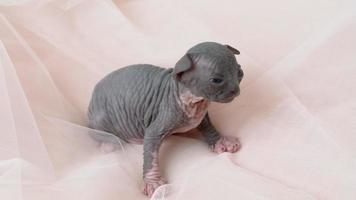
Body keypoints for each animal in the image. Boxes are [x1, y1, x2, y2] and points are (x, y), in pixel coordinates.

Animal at [88, 41, 243, 197]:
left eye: (240, 73)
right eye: (216, 80)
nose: (236, 90)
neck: (194, 101)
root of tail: (92, 97)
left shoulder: (200, 115)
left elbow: (208, 126)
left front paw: (221, 141)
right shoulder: (157, 126)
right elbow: (150, 154)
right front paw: (153, 183)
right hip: (100, 119)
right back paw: (108, 143)